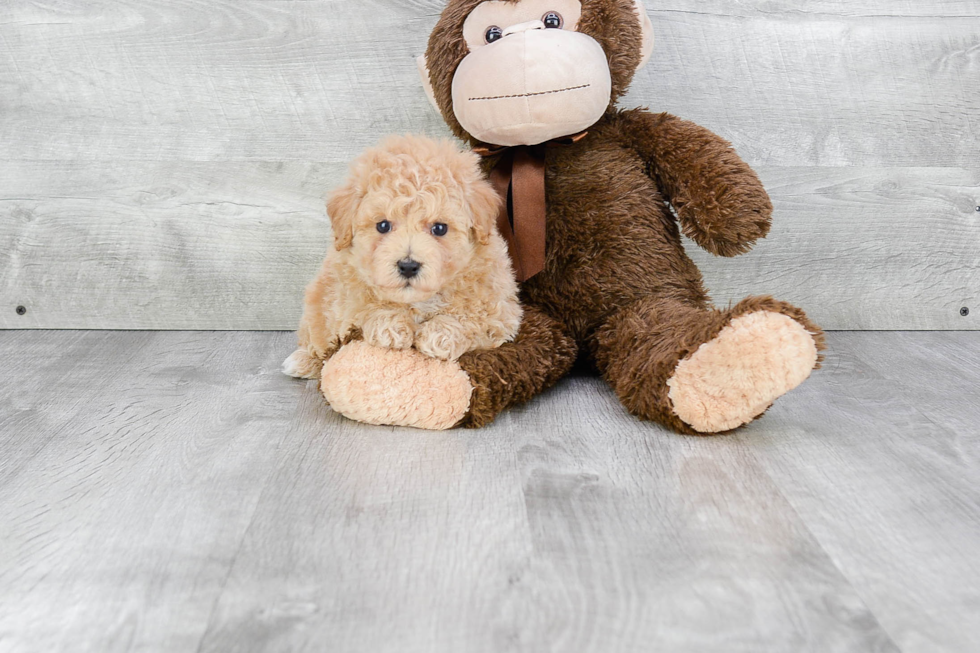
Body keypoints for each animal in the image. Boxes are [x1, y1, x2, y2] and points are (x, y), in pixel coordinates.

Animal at [282, 135, 520, 380]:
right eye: (383, 226)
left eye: (440, 228)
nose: (408, 266)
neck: (418, 301)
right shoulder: (344, 302)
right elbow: (363, 308)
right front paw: (390, 325)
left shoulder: (500, 313)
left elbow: (471, 320)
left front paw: (439, 335)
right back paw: (303, 360)